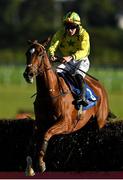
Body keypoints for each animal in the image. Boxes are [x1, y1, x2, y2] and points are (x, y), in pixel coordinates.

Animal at [23, 39, 109, 176]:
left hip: (99, 122)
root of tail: (100, 87)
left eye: (40, 54)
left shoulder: (65, 123)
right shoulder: (40, 123)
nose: (28, 74)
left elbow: (46, 134)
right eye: (27, 53)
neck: (50, 92)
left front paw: (41, 164)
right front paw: (30, 167)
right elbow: (33, 140)